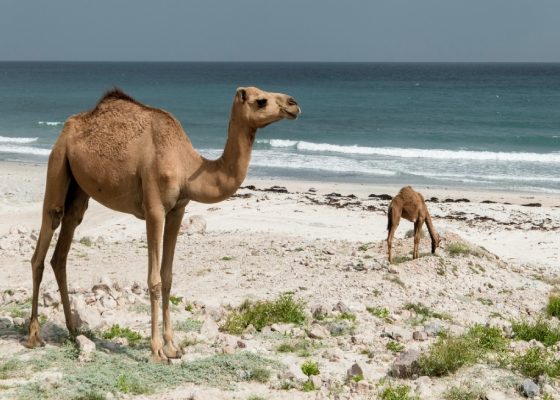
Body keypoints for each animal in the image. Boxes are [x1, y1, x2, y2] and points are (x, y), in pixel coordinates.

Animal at [26, 86, 300, 360]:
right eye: (261, 100)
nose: (293, 104)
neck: (186, 166)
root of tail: (68, 127)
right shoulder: (155, 209)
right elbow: (154, 280)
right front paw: (157, 350)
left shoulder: (178, 209)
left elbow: (167, 277)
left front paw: (173, 346)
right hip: (58, 161)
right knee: (45, 236)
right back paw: (34, 336)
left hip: (79, 187)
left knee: (64, 244)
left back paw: (73, 329)